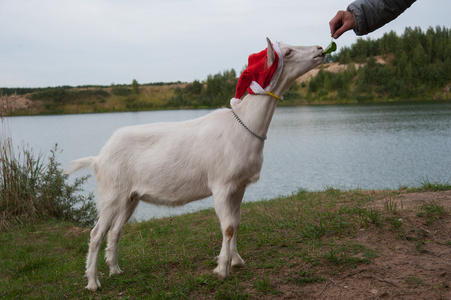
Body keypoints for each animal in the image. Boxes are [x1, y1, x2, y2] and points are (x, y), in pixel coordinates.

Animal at [65, 37, 326, 290]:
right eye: (288, 52)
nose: (321, 49)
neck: (244, 127)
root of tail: (98, 158)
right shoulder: (221, 185)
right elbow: (227, 226)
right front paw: (222, 269)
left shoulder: (239, 186)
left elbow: (237, 223)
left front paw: (236, 260)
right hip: (112, 192)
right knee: (96, 233)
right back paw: (93, 283)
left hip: (130, 196)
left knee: (115, 230)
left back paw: (115, 269)